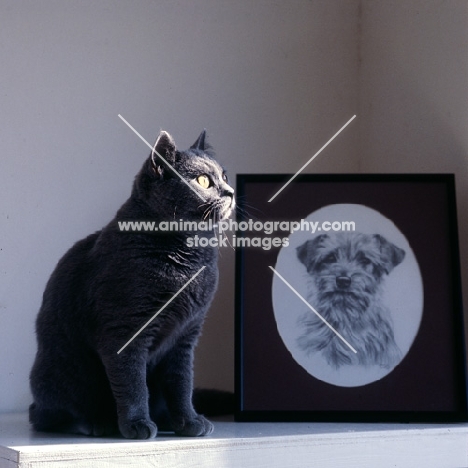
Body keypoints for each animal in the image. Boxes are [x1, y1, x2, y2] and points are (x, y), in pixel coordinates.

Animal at [28, 129, 234, 438]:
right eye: (202, 181)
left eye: (224, 175)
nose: (230, 192)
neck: (189, 259)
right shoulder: (124, 329)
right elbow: (133, 383)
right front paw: (137, 424)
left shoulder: (187, 334)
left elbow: (182, 383)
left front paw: (189, 421)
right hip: (63, 370)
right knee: (47, 415)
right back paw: (96, 423)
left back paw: (166, 420)